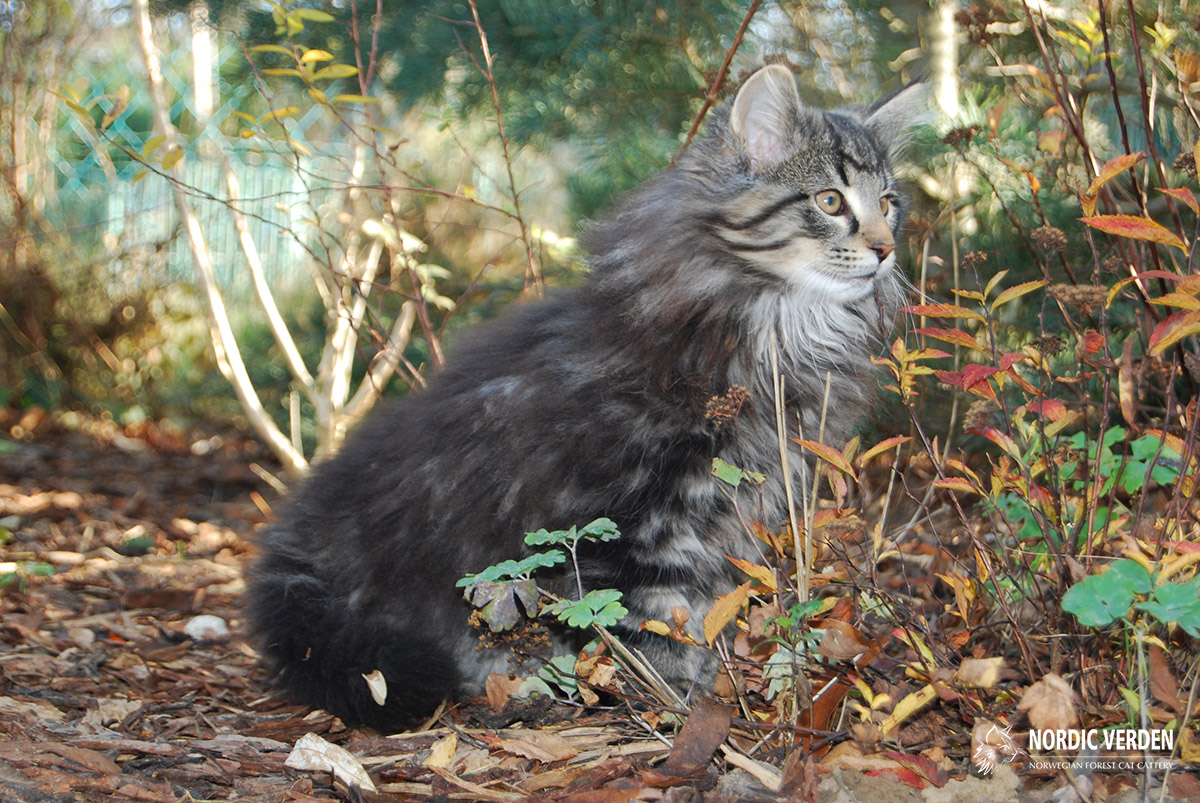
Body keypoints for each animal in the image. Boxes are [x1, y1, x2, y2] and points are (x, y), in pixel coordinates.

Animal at [247, 64, 925, 730]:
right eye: (830, 201)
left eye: (888, 204)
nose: (885, 248)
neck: (773, 323)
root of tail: (296, 555)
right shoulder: (623, 521)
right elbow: (651, 623)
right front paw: (675, 703)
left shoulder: (728, 512)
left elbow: (700, 611)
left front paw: (711, 687)